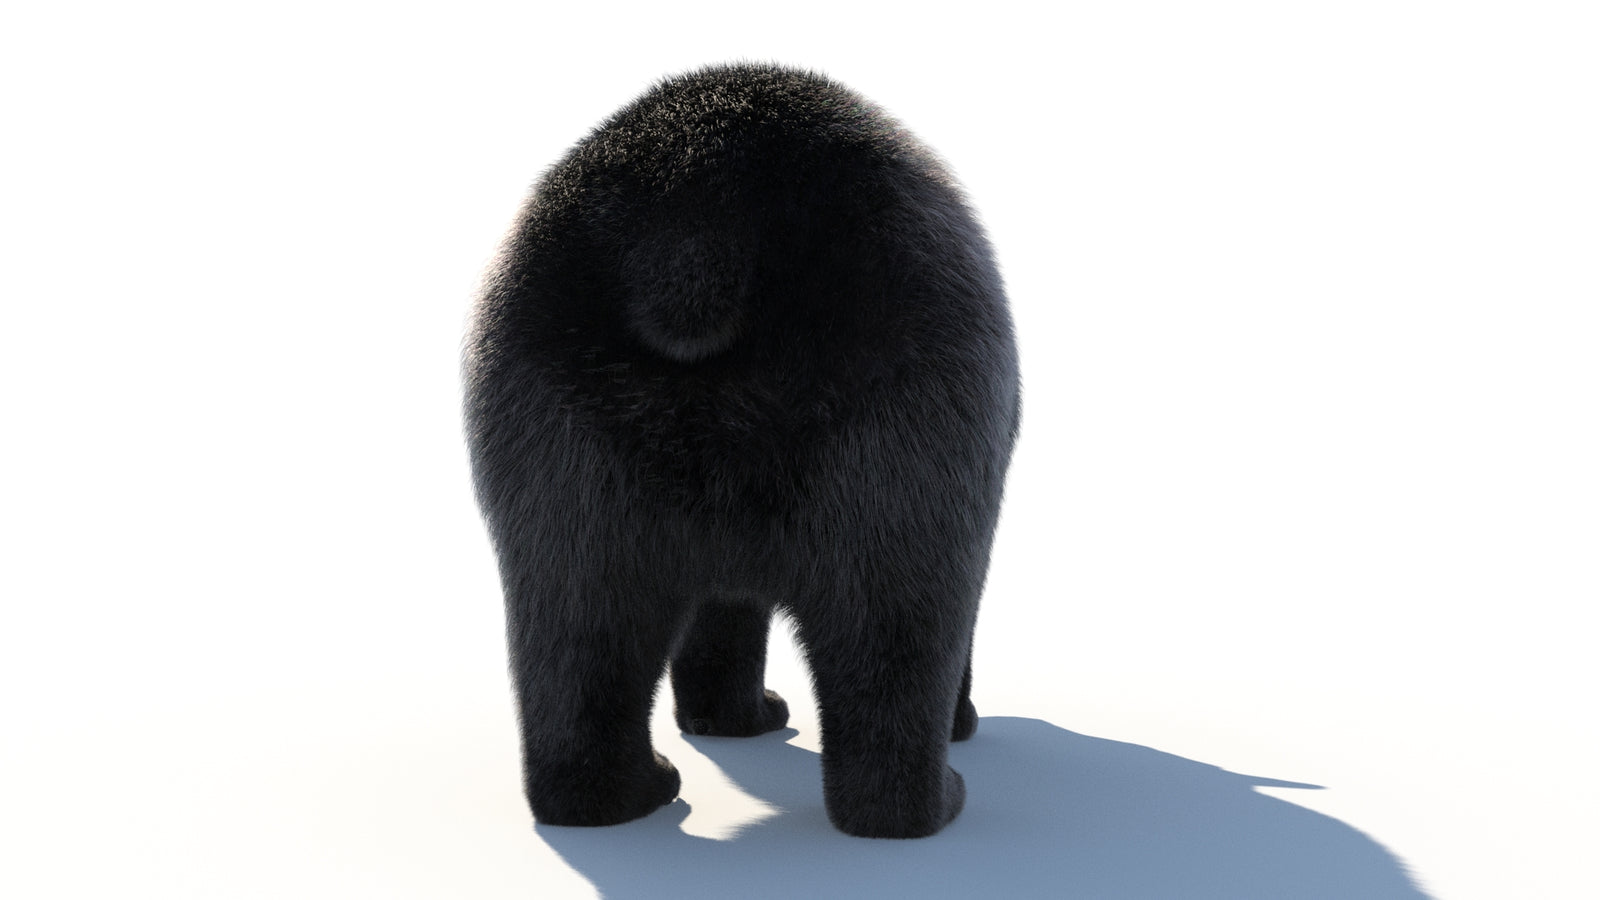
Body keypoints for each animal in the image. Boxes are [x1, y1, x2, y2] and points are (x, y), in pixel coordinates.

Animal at [463, 63, 1019, 839]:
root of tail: (699, 220)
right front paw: (961, 718)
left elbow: (720, 610)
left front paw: (730, 714)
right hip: (899, 417)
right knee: (897, 623)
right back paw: (926, 800)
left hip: (560, 435)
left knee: (576, 625)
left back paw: (616, 793)